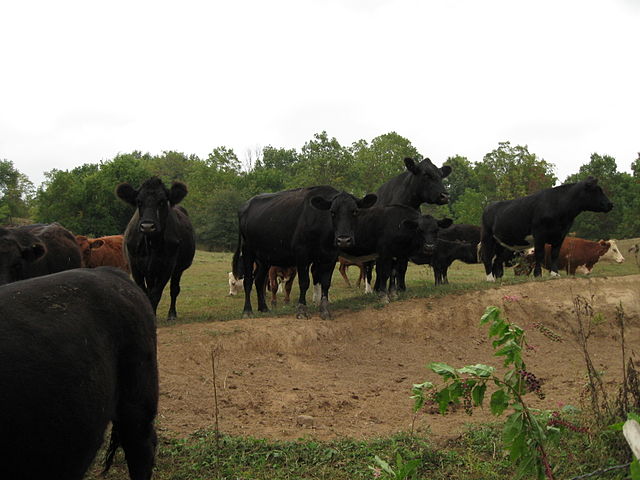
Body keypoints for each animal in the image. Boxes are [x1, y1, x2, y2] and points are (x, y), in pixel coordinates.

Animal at [116, 177, 196, 320]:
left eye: (162, 201)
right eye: (139, 201)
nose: (147, 226)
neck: (151, 244)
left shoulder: (167, 266)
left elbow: (156, 294)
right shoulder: (135, 265)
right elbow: (144, 292)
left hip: (178, 269)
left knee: (174, 289)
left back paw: (172, 314)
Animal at [233, 186, 377, 319]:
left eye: (355, 211)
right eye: (332, 212)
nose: (343, 240)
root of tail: (245, 206)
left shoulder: (330, 257)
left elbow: (326, 283)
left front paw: (325, 310)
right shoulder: (302, 255)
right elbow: (304, 282)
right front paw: (302, 310)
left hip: (264, 257)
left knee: (258, 281)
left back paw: (263, 308)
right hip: (247, 250)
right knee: (248, 281)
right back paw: (247, 310)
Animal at [480, 177, 613, 280]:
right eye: (596, 191)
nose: (610, 204)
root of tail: (489, 206)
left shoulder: (561, 235)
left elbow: (555, 254)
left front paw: (555, 274)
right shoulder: (539, 233)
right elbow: (539, 254)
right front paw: (538, 274)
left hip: (502, 243)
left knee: (497, 260)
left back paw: (498, 278)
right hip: (487, 236)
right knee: (487, 257)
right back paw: (490, 278)